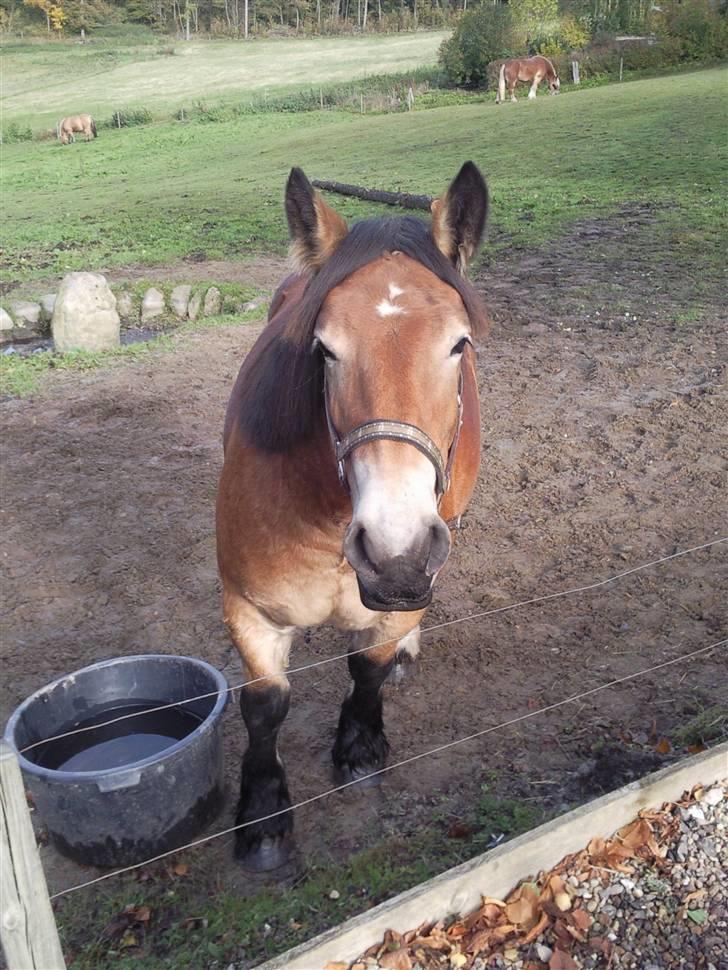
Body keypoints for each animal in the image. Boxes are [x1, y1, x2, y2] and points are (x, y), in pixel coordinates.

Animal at [216, 161, 490, 868]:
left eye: (459, 344)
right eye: (324, 349)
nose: (395, 553)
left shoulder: (411, 589)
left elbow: (367, 666)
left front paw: (360, 746)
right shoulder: (249, 610)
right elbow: (265, 705)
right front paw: (262, 810)